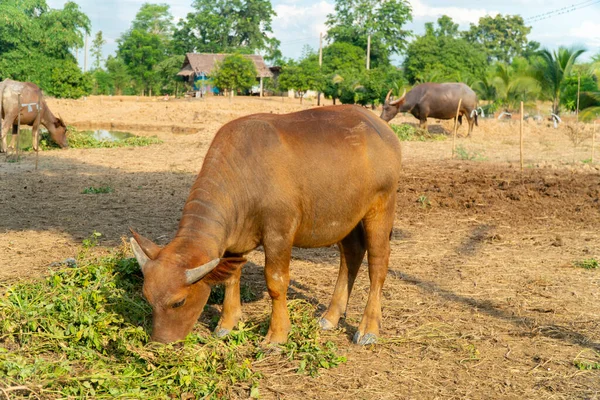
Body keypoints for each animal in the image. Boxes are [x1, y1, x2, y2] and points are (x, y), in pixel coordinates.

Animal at [131, 104, 404, 346]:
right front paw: (226, 324)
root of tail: (383, 129)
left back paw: (368, 329)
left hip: (382, 204)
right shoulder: (235, 240)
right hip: (347, 214)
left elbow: (275, 281)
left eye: (178, 302)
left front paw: (277, 335)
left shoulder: (279, 233)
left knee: (378, 262)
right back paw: (330, 317)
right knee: (352, 253)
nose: (160, 343)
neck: (243, 174)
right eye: (147, 297)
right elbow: (231, 278)